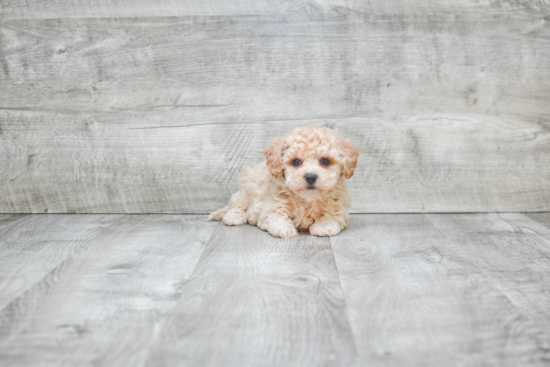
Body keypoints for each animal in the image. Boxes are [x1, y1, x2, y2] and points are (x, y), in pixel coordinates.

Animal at [209, 126, 360, 239]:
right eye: (296, 162)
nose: (310, 177)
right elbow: (276, 216)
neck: (307, 199)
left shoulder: (338, 207)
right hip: (246, 187)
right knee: (237, 203)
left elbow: (333, 215)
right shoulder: (273, 205)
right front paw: (285, 229)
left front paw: (324, 226)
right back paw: (234, 217)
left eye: (325, 161)